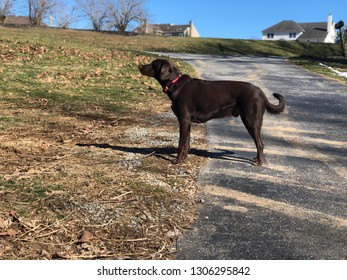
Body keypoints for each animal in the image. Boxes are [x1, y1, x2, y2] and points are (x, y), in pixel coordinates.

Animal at [139, 58, 286, 164]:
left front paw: (177, 160)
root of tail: (260, 91)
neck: (174, 83)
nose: (139, 66)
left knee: (260, 143)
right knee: (258, 143)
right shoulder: (188, 122)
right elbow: (186, 144)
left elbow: (181, 144)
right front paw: (184, 158)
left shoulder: (184, 120)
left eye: (153, 64)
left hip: (251, 121)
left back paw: (259, 162)